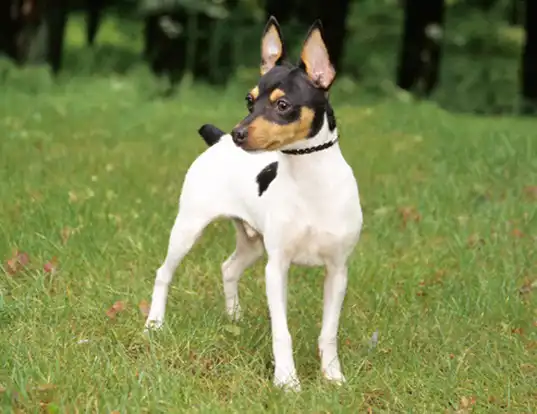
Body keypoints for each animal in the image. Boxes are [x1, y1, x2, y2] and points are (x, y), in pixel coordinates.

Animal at [144, 17, 362, 392]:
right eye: (249, 100)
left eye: (282, 105)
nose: (237, 134)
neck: (310, 185)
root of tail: (217, 141)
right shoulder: (276, 269)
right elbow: (282, 332)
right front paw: (287, 381)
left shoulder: (337, 271)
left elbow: (329, 332)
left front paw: (333, 375)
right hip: (188, 229)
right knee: (164, 273)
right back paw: (154, 323)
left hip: (252, 243)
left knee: (228, 268)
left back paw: (234, 317)